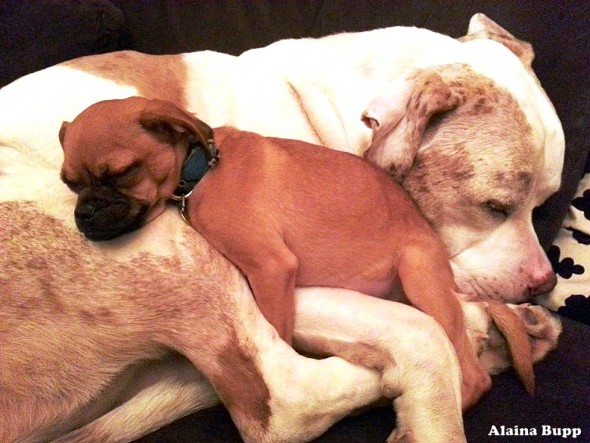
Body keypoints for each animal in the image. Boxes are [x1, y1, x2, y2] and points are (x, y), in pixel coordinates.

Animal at [61, 96, 494, 410]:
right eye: (69, 183)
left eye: (122, 172)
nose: (84, 213)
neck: (201, 170)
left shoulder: (271, 269)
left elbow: (280, 335)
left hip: (418, 276)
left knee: (475, 376)